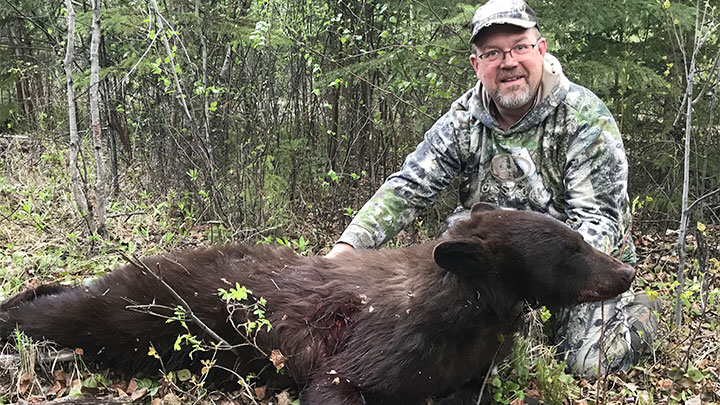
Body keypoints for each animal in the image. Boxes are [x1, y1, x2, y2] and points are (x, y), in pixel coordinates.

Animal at [0, 204, 632, 402]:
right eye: (571, 249)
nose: (626, 271)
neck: (471, 309)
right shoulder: (367, 355)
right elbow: (337, 383)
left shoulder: (468, 368)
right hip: (129, 312)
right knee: (59, 312)